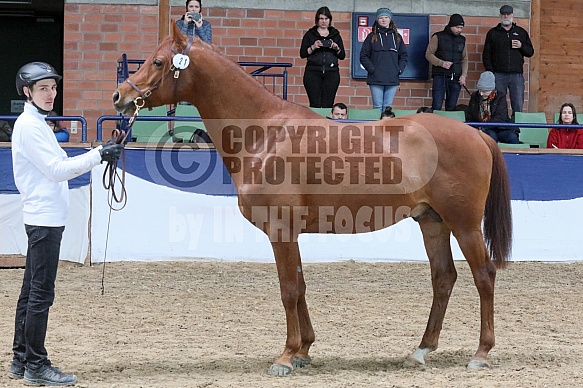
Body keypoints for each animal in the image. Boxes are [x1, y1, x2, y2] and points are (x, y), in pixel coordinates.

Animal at [113, 24, 512, 376]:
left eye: (159, 62)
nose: (120, 97)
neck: (264, 132)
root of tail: (478, 135)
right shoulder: (291, 233)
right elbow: (301, 286)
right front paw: (304, 350)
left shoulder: (281, 230)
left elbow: (289, 289)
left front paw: (286, 357)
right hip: (432, 222)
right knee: (443, 278)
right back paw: (420, 350)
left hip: (464, 224)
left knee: (484, 276)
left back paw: (481, 353)